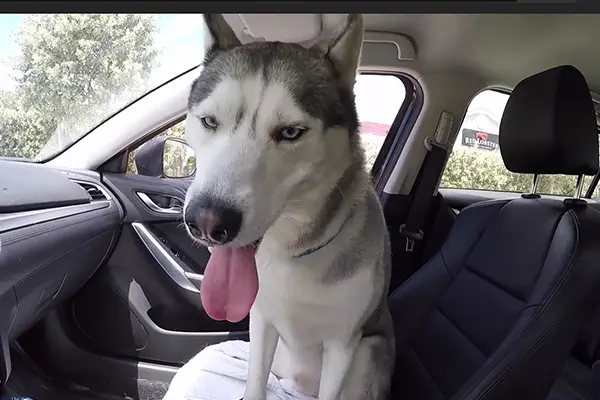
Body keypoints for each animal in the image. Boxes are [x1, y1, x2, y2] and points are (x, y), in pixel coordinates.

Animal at [183, 13, 398, 400]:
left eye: (291, 132)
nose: (207, 222)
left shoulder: (343, 345)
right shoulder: (262, 320)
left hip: (369, 352)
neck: (293, 254)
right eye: (209, 121)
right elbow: (255, 382)